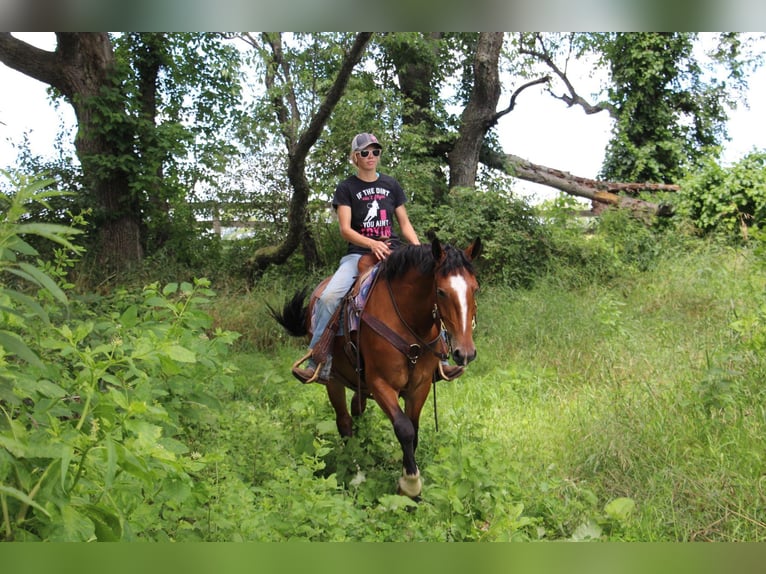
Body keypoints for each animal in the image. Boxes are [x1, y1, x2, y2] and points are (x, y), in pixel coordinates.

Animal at [272, 237, 484, 500]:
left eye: (475, 289)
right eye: (441, 291)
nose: (465, 352)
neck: (409, 320)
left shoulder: (420, 385)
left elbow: (414, 430)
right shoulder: (381, 383)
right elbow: (404, 429)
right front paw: (410, 484)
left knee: (357, 409)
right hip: (333, 379)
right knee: (344, 421)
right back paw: (355, 469)